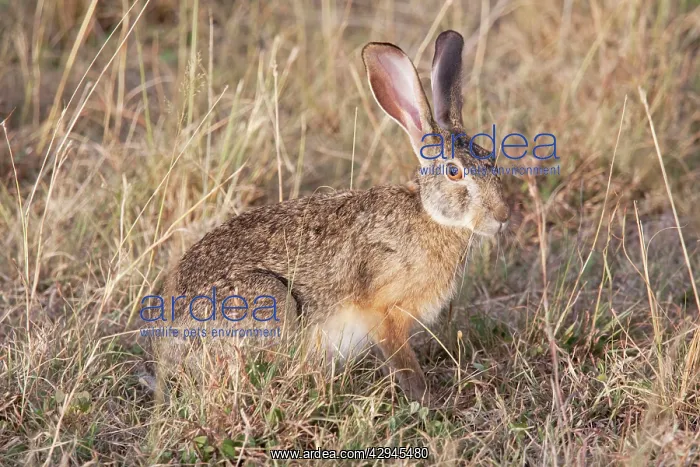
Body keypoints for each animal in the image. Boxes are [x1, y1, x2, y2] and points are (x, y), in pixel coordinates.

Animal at [145, 30, 510, 406]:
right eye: (454, 172)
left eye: (491, 159)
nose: (502, 215)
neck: (432, 216)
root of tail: (166, 352)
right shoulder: (386, 312)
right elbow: (403, 361)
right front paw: (424, 399)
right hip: (265, 299)